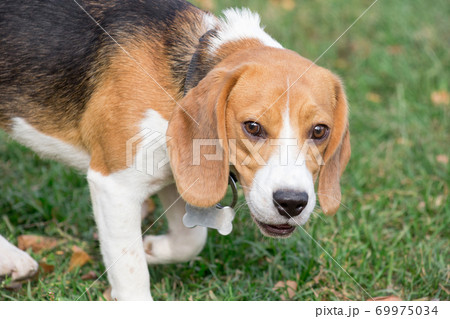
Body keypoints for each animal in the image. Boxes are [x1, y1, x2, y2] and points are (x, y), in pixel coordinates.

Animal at [0, 0, 350, 302]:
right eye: (252, 127)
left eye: (320, 131)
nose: (292, 202)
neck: (188, 67)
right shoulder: (115, 187)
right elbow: (132, 272)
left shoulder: (177, 173)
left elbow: (190, 241)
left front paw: (153, 248)